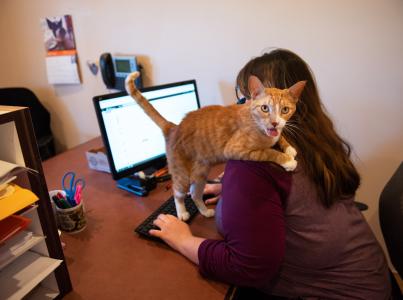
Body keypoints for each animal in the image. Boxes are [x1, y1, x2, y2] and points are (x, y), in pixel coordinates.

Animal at [126, 72, 306, 220]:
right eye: (264, 108)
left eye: (285, 110)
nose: (274, 123)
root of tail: (174, 127)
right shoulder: (236, 149)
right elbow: (268, 152)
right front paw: (287, 160)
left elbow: (279, 137)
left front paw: (289, 147)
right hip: (182, 173)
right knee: (178, 192)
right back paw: (182, 213)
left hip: (200, 174)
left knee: (195, 194)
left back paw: (205, 211)